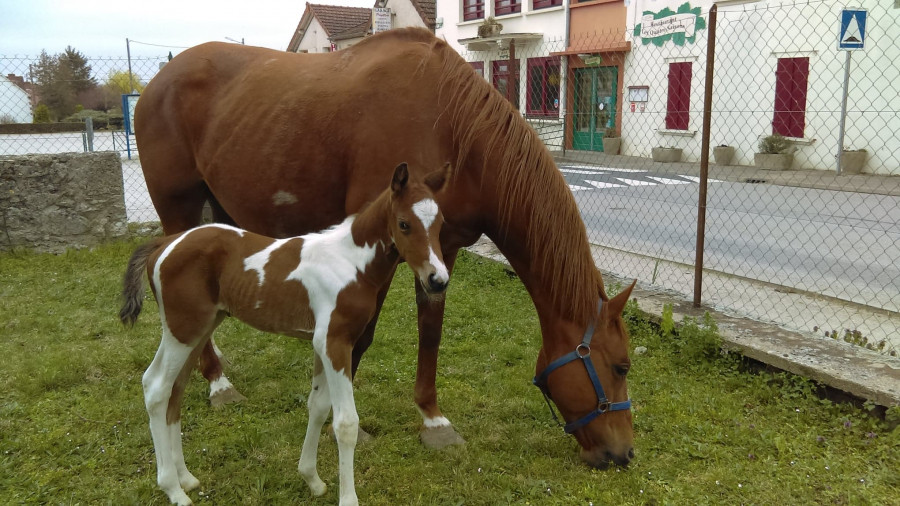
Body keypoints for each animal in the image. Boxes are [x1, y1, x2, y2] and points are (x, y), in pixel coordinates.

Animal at [121, 164, 450, 504]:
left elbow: (318, 406)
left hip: (196, 331)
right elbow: (346, 422)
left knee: (175, 390)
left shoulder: (322, 345)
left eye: (440, 224)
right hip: (183, 330)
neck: (349, 263)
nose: (437, 279)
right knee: (156, 387)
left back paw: (186, 478)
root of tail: (163, 245)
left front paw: (311, 479)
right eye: (404, 224)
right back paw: (173, 489)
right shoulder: (335, 342)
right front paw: (348, 497)